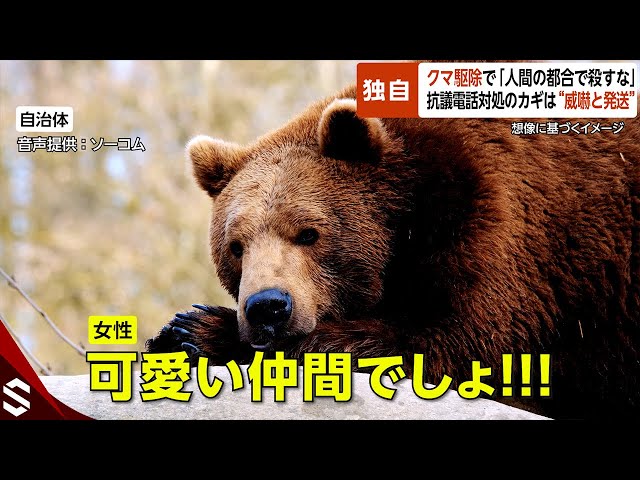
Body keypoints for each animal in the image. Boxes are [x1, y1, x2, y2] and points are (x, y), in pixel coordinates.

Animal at [146, 79, 640, 420]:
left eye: (308, 232)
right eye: (236, 246)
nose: (267, 306)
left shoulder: (505, 228)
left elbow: (464, 342)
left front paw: (200, 328)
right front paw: (182, 330)